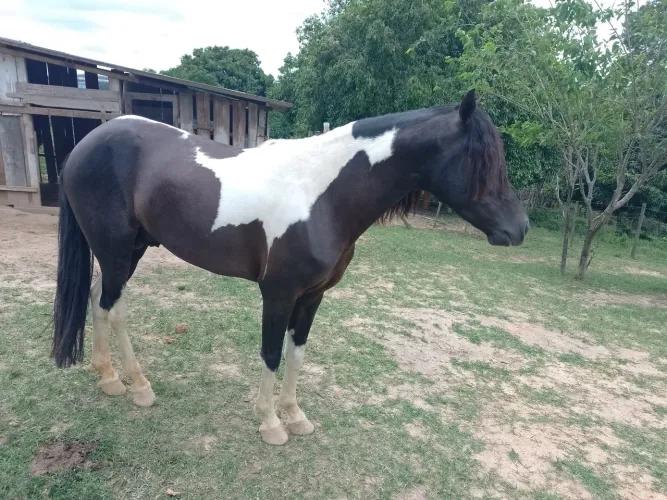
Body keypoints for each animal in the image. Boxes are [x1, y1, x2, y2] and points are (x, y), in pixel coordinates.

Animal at [51, 89, 528, 445]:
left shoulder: (312, 296)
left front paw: (295, 415)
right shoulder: (278, 293)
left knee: (97, 298)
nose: (520, 228)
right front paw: (269, 424)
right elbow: (271, 352)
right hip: (116, 251)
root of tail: (85, 145)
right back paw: (138, 387)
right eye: (483, 162)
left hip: (127, 251)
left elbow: (297, 353)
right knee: (115, 308)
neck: (321, 194)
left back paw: (108, 377)